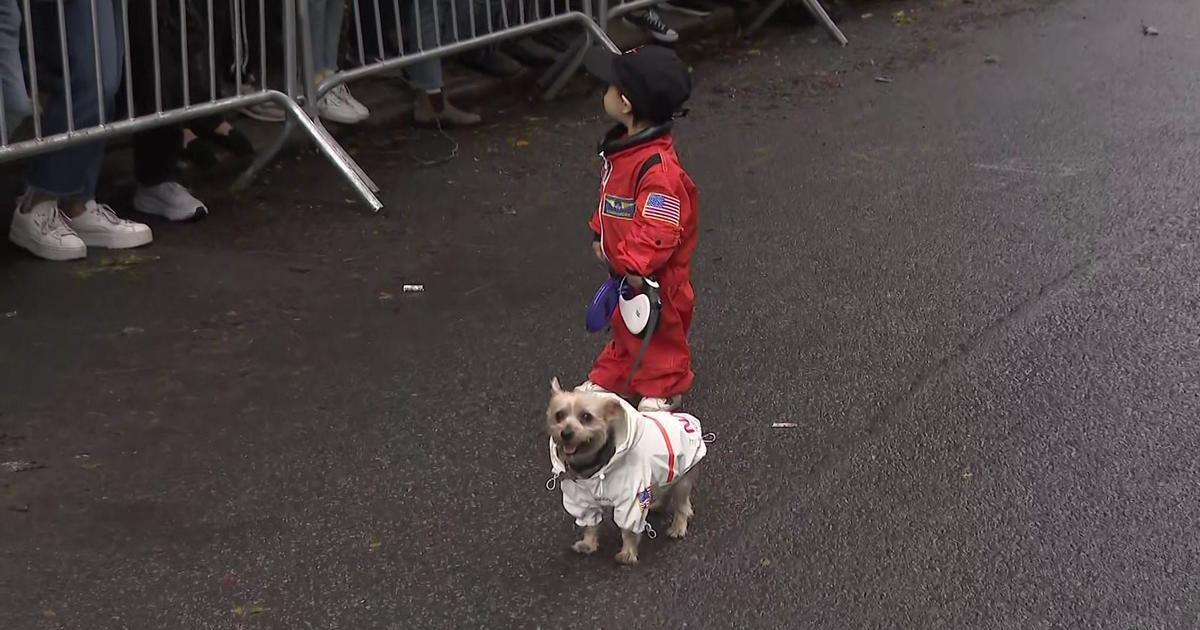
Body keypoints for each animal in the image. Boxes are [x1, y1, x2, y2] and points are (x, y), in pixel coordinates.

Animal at [549, 379, 705, 564]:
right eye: (559, 415)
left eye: (586, 417)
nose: (566, 433)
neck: (594, 465)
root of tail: (687, 420)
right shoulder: (583, 499)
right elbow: (590, 523)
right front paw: (588, 544)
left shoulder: (633, 499)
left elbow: (629, 529)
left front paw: (627, 553)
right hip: (665, 472)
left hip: (683, 477)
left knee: (682, 505)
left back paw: (678, 527)